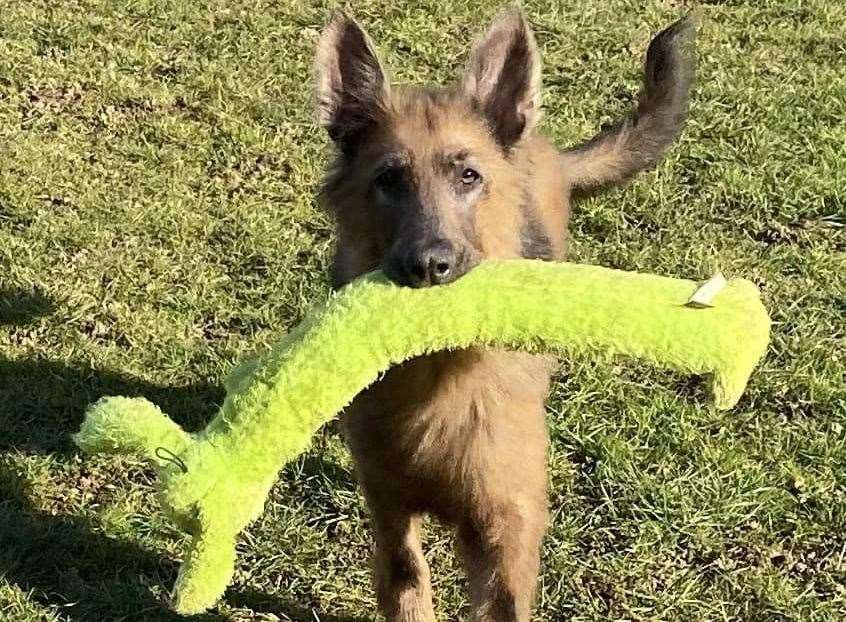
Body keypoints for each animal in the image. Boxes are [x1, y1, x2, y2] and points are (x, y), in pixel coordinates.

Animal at [314, 9, 696, 622]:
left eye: (468, 176)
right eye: (389, 179)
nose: (429, 266)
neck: (438, 380)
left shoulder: (504, 530)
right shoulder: (393, 518)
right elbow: (408, 582)